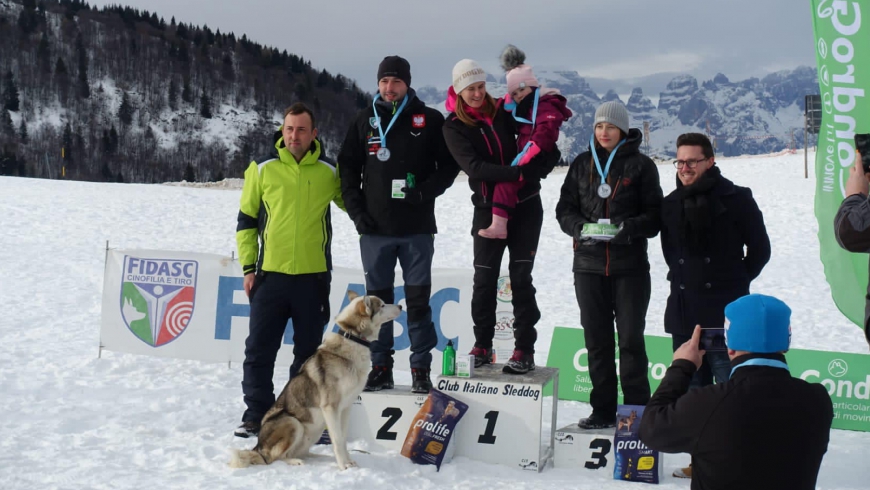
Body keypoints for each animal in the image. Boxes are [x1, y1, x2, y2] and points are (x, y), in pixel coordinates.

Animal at [235, 290, 406, 470]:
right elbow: (337, 440)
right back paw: (296, 461)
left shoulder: (346, 407)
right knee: (274, 458)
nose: (401, 306)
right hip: (293, 422)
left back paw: (320, 457)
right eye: (382, 305)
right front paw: (343, 466)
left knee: (298, 453)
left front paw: (348, 462)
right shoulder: (330, 407)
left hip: (315, 431)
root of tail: (258, 447)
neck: (353, 339)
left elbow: (343, 439)